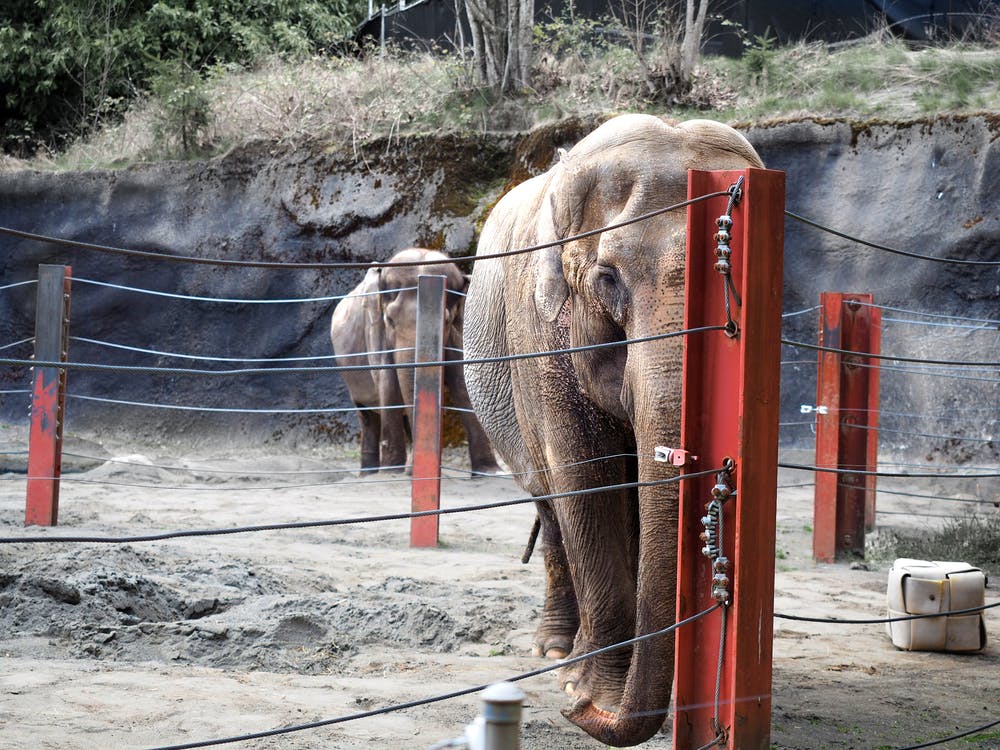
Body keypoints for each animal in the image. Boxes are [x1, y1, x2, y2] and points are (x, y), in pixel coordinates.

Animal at [332, 251, 500, 476]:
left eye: (446, 321)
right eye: (389, 320)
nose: (411, 471)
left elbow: (461, 383)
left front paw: (490, 472)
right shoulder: (375, 329)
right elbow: (387, 382)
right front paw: (391, 473)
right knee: (367, 417)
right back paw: (371, 474)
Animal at [462, 114, 764, 748]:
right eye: (607, 279)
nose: (575, 713)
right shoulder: (540, 332)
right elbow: (586, 476)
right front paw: (589, 694)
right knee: (552, 507)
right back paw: (557, 654)